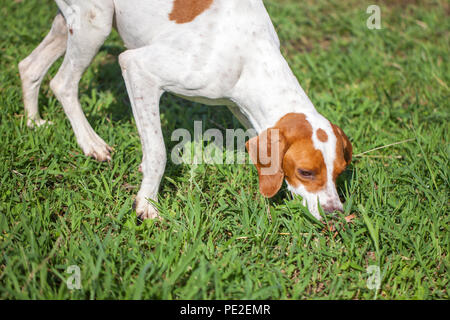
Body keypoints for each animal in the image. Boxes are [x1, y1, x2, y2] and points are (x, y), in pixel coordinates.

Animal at [19, 0, 352, 220]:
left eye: (340, 172)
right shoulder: (138, 68)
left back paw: (33, 122)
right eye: (306, 172)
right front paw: (147, 203)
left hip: (71, 24)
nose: (337, 213)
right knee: (62, 83)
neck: (252, 56)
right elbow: (158, 153)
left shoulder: (240, 107)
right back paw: (90, 143)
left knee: (29, 67)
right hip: (95, 24)